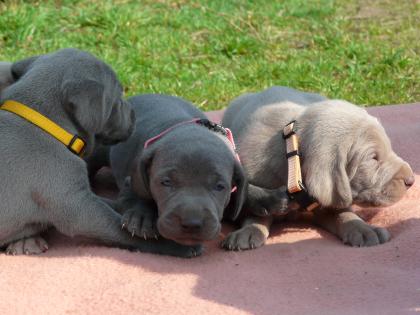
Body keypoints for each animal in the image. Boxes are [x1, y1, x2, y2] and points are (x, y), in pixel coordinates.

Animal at [0, 48, 202, 258]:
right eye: (119, 96)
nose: (134, 113)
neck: (44, 125)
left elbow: (110, 203)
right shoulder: (80, 209)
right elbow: (123, 232)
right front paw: (176, 245)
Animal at [110, 94, 248, 249]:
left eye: (219, 187)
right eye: (166, 182)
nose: (192, 223)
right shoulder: (132, 179)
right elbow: (141, 194)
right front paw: (142, 216)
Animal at [221, 86, 416, 252]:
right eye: (373, 158)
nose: (411, 180)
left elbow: (343, 213)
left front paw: (364, 229)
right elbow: (255, 210)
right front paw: (248, 232)